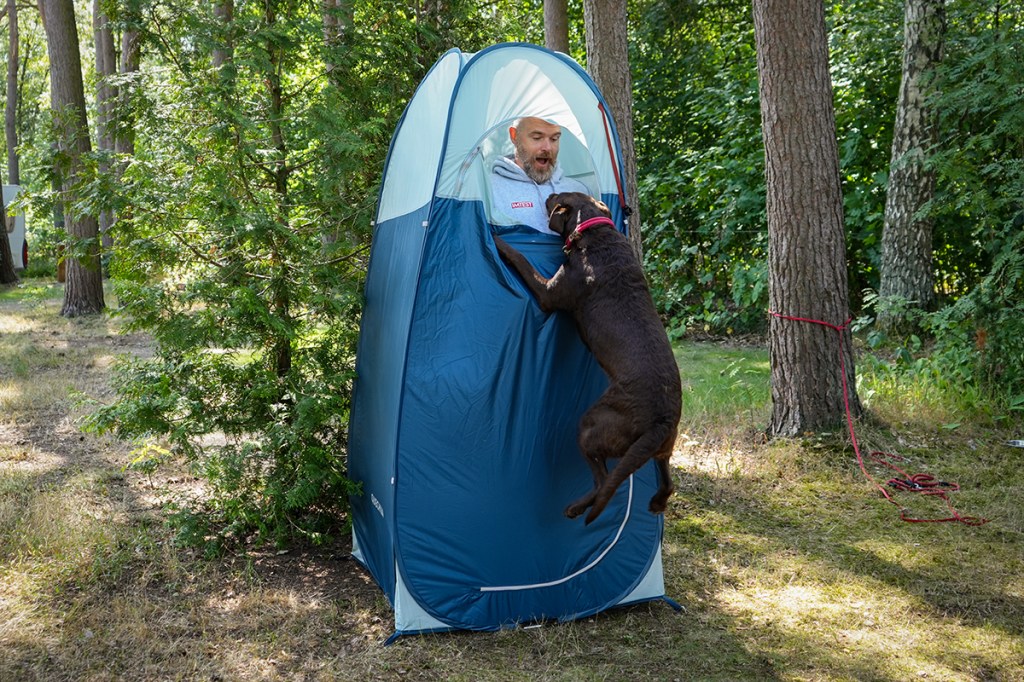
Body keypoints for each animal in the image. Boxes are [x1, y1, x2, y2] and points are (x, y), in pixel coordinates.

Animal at [493, 192, 679, 524]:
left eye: (557, 197)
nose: (548, 194)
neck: (595, 231)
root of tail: (663, 419)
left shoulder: (548, 293)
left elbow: (521, 259)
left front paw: (499, 243)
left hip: (590, 426)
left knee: (603, 480)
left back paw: (577, 508)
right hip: (660, 448)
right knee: (665, 481)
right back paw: (656, 502)